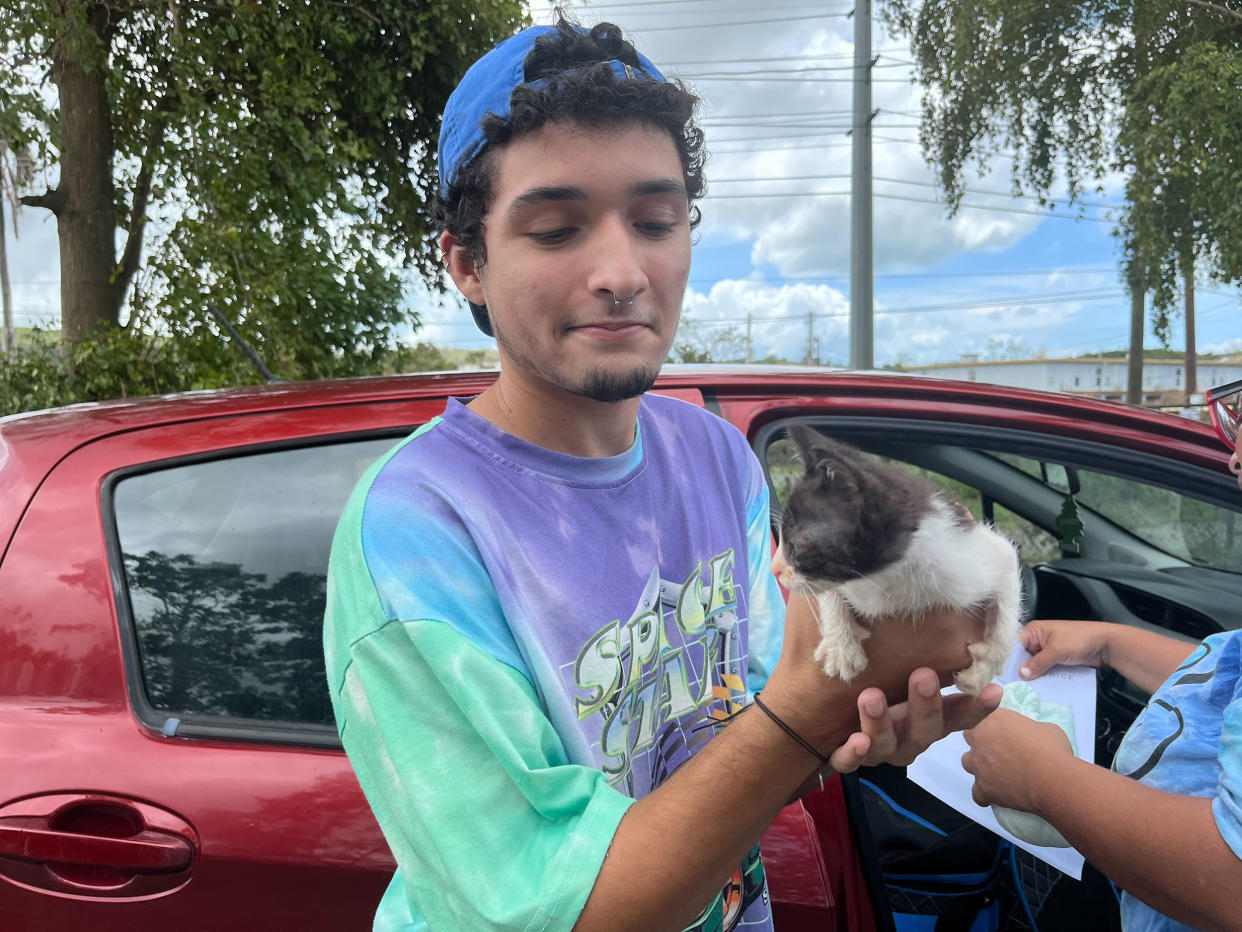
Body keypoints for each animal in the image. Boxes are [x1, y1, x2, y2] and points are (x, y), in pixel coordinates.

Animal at [775, 427, 1018, 695]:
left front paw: (984, 670)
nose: (775, 569)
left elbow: (1008, 594)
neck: (886, 578)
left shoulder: (973, 561)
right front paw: (840, 647)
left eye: (794, 545)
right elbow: (829, 592)